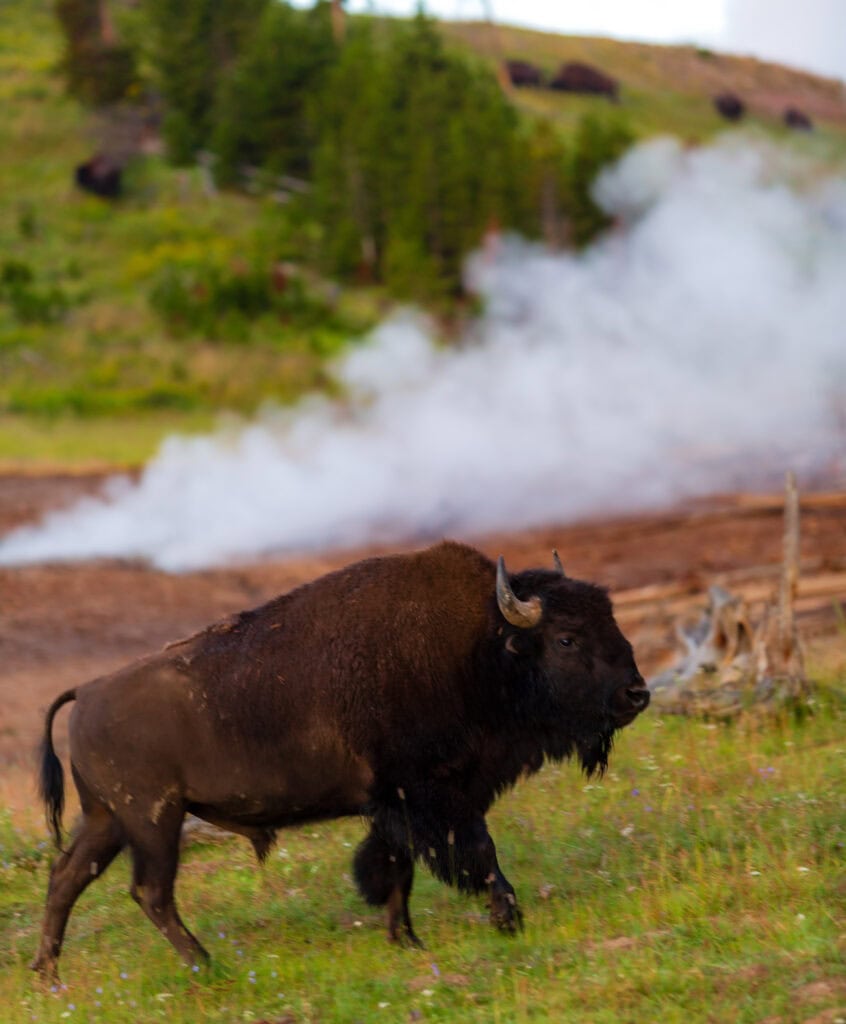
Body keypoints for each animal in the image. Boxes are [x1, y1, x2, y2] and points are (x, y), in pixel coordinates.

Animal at [32, 541, 648, 979]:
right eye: (566, 638)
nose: (637, 694)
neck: (481, 649)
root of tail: (87, 691)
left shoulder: (400, 807)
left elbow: (397, 867)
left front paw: (406, 940)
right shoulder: (430, 797)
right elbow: (477, 853)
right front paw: (508, 919)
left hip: (108, 820)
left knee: (68, 877)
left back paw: (49, 974)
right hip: (153, 822)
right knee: (150, 892)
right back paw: (205, 965)